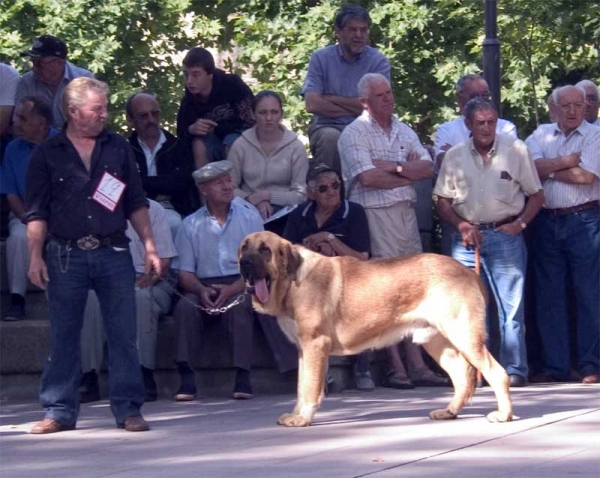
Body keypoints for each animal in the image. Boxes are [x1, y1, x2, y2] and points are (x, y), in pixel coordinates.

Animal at [238, 231, 510, 426]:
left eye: (265, 249)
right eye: (243, 247)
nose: (244, 263)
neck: (291, 281)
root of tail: (469, 273)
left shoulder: (315, 345)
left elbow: (310, 387)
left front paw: (303, 418)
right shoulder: (305, 351)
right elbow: (301, 386)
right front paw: (297, 414)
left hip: (464, 336)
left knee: (497, 373)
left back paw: (503, 415)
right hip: (435, 342)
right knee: (463, 377)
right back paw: (448, 412)